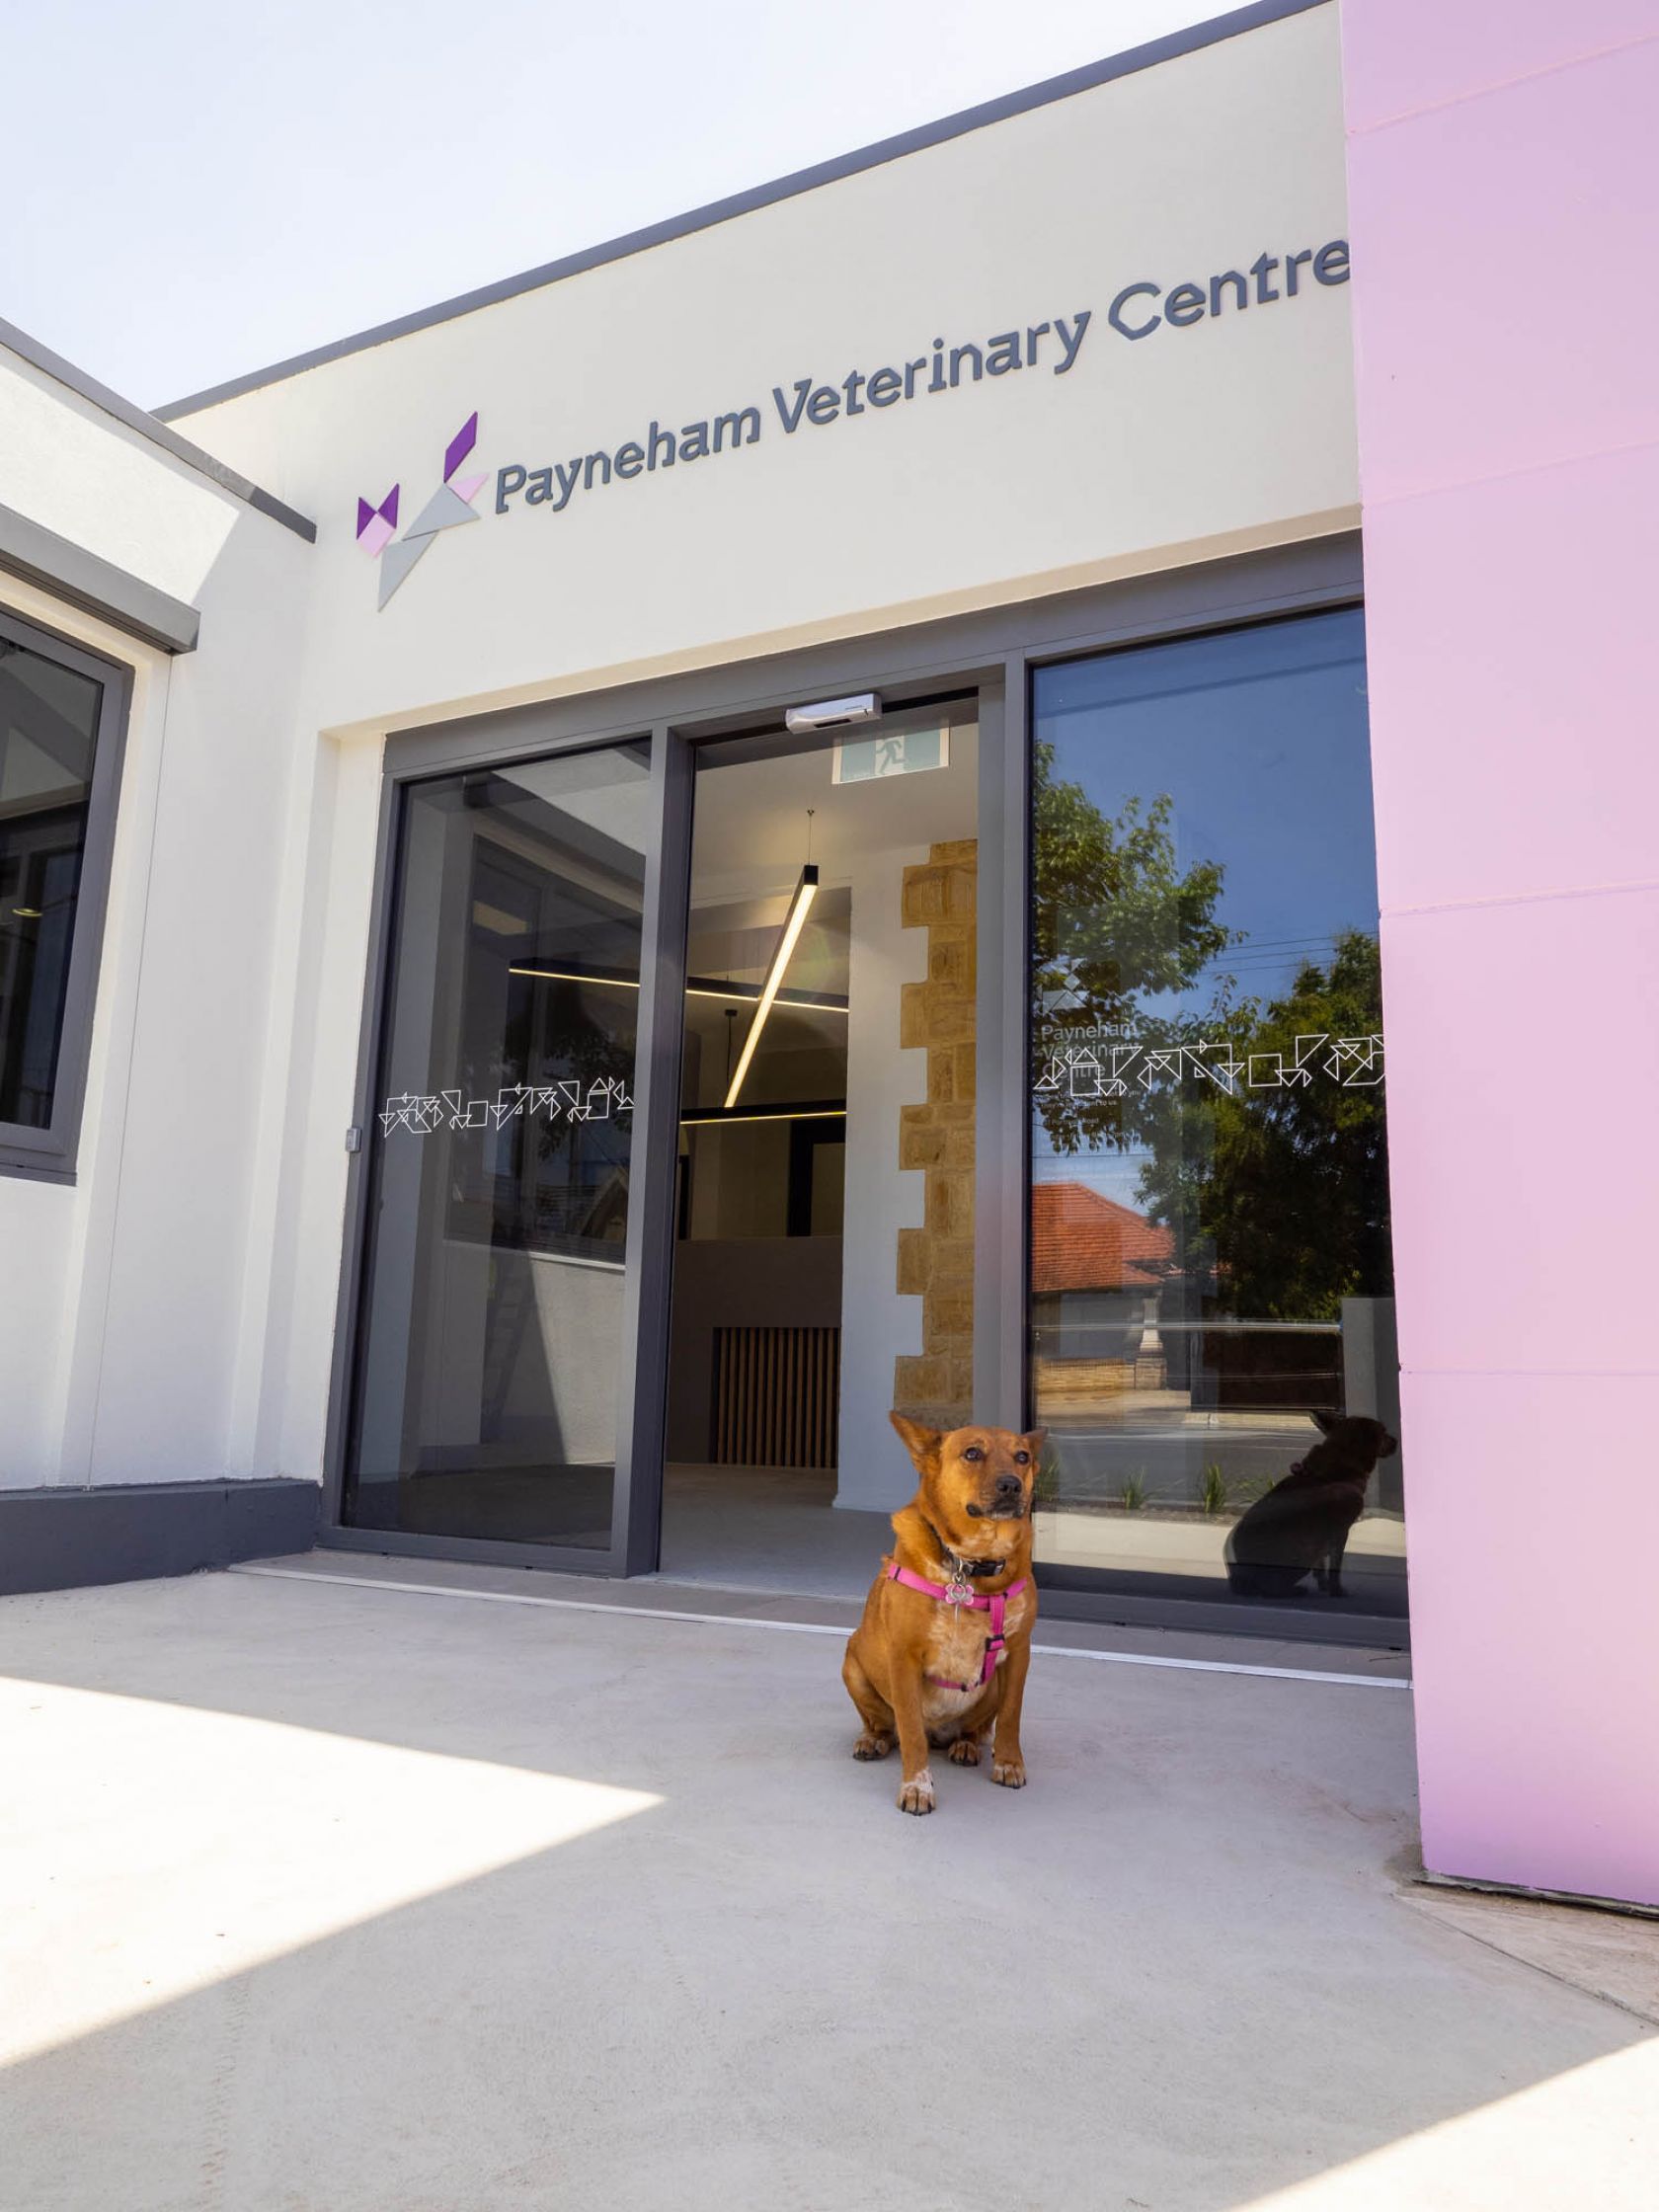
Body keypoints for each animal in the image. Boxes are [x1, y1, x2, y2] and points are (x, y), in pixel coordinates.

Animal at [844, 1415, 1039, 1813]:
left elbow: (1011, 1715)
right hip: (852, 1662)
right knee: (886, 1725)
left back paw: (965, 1745)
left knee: (976, 1729)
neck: (972, 1565)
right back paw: (873, 1739)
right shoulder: (903, 1658)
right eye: (972, 1453)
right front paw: (917, 1786)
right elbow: (910, 1731)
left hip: (989, 1688)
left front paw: (1009, 1763)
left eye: (1023, 1457)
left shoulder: (1019, 1652)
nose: (1011, 1484)